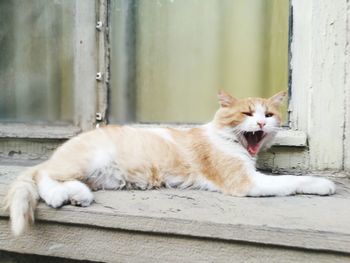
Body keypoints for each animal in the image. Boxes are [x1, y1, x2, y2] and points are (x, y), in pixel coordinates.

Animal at [3, 91, 336, 237]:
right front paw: (324, 184)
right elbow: (292, 181)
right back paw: (64, 196)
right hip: (88, 161)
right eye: (246, 114)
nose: (261, 123)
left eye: (267, 115)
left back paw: (76, 196)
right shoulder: (247, 182)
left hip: (104, 176)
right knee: (42, 175)